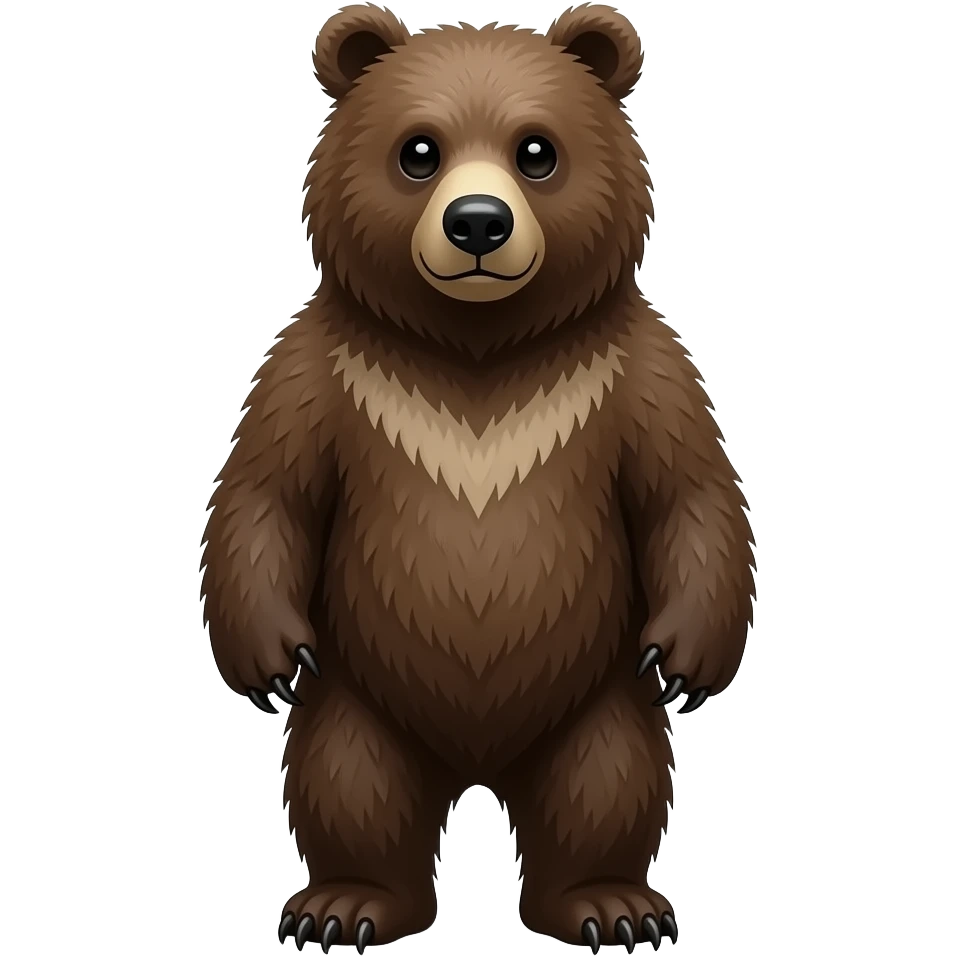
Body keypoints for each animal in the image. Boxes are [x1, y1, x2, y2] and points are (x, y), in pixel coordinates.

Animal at [199, 3, 757, 953]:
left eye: (537, 149)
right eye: (417, 149)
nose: (477, 224)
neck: (478, 349)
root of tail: (479, 769)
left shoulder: (632, 372)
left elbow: (690, 494)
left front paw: (688, 658)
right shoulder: (323, 372)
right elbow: (265, 494)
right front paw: (268, 657)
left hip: (595, 698)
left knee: (606, 782)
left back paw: (610, 906)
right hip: (360, 697)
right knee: (348, 782)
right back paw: (344, 906)